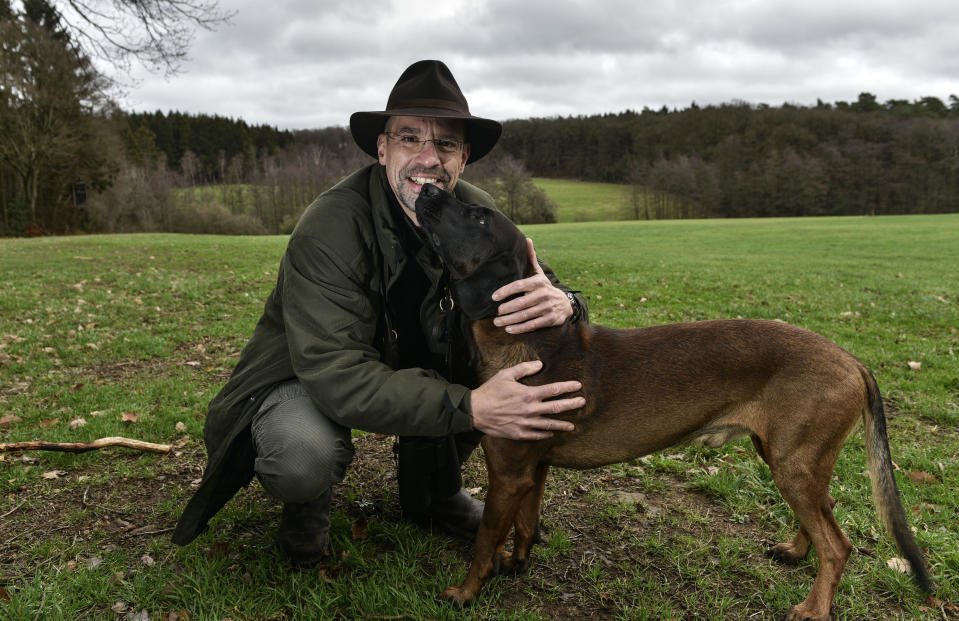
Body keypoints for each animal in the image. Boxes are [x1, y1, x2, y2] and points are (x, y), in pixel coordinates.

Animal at [412, 184, 928, 620]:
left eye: (479, 216)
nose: (429, 188)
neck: (528, 341)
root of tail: (854, 361)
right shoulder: (532, 470)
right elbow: (524, 525)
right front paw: (516, 563)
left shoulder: (508, 472)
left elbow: (484, 541)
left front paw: (464, 593)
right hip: (788, 457)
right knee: (829, 511)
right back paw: (795, 551)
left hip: (793, 464)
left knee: (838, 546)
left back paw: (813, 609)